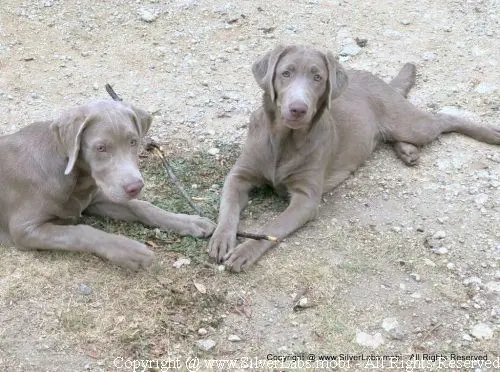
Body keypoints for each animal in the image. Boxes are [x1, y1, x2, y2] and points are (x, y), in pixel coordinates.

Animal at [0, 101, 215, 270]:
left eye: (133, 141)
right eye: (100, 148)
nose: (135, 187)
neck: (76, 180)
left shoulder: (96, 198)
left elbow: (142, 206)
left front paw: (189, 221)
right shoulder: (25, 229)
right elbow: (81, 232)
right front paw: (129, 250)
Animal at [208, 44, 500, 270]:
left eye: (317, 78)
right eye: (285, 73)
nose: (298, 109)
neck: (284, 140)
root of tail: (383, 83)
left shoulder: (306, 198)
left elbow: (272, 227)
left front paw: (245, 251)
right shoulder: (239, 175)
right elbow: (228, 208)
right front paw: (221, 239)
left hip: (411, 124)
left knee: (443, 118)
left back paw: (490, 133)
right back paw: (407, 151)